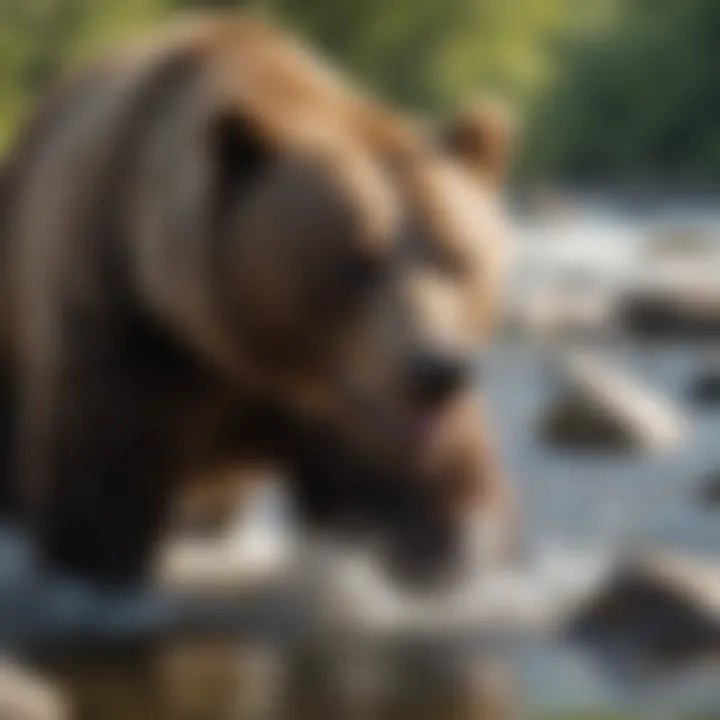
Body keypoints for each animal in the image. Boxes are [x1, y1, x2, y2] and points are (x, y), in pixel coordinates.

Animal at [0, 12, 516, 592]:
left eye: (457, 258)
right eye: (354, 262)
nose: (436, 369)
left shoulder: (355, 405)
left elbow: (421, 484)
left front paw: (451, 556)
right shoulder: (122, 304)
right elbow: (102, 468)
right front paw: (99, 564)